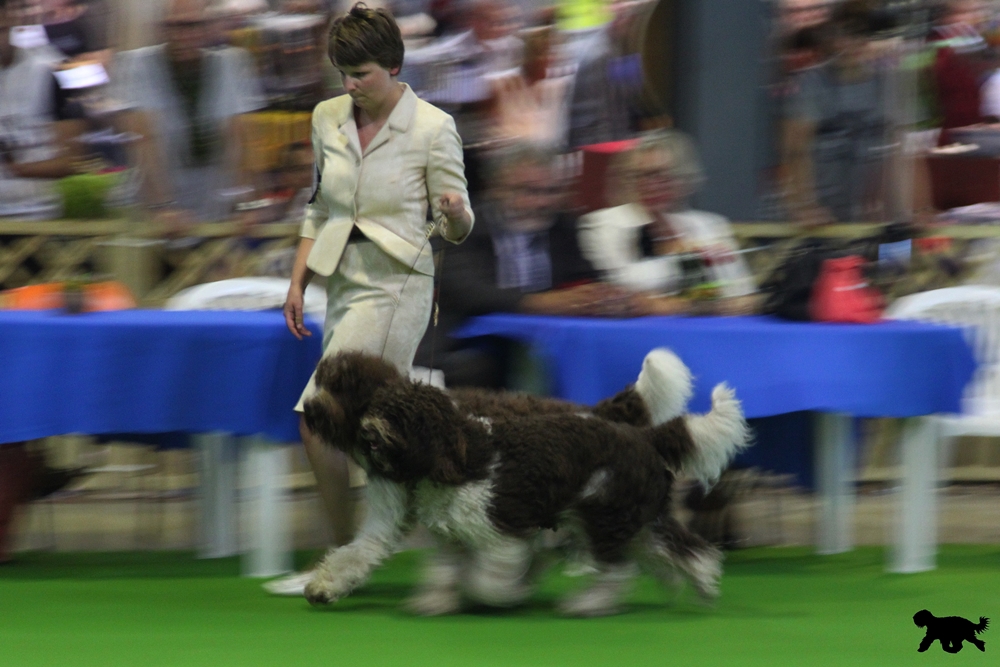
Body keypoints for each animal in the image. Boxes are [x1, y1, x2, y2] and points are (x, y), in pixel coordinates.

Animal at [302, 350, 750, 616]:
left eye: (340, 386)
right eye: (321, 378)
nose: (309, 408)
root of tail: (642, 435)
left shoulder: (502, 527)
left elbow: (489, 575)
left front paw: (501, 594)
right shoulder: (435, 529)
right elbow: (365, 553)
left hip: (603, 517)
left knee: (618, 567)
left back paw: (586, 601)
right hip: (629, 517)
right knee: (677, 549)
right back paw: (696, 583)